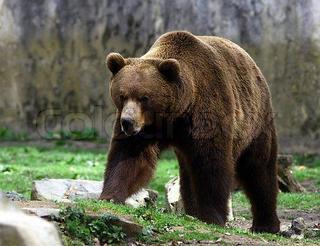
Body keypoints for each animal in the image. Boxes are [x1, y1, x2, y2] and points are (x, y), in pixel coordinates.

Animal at [100, 30, 280, 233]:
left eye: (144, 97)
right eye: (122, 95)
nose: (128, 122)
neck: (176, 112)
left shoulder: (206, 113)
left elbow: (211, 164)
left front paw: (212, 216)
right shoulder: (146, 129)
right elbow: (128, 157)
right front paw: (110, 196)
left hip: (256, 119)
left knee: (258, 168)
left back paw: (266, 224)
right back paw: (192, 211)